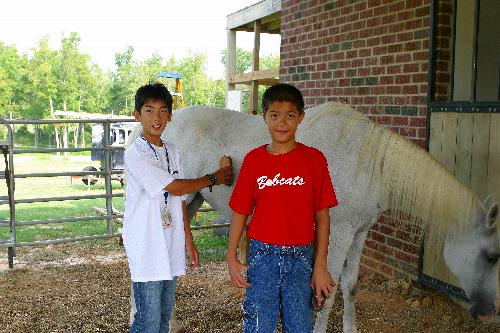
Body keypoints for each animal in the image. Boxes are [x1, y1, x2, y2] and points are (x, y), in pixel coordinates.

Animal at [159, 102, 496, 330]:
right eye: (493, 256)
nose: (488, 311)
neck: (369, 165)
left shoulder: (360, 232)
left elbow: (350, 286)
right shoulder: (339, 233)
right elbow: (327, 293)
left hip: (191, 202)